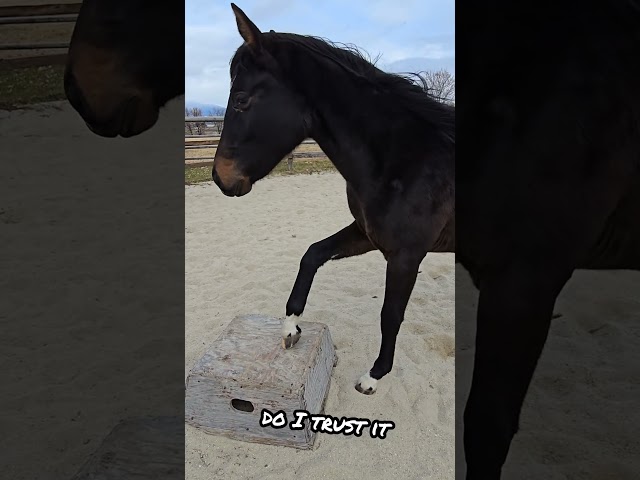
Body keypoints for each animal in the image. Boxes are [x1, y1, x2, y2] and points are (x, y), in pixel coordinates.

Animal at [211, 2, 456, 394]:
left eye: (242, 100)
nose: (221, 177)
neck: (405, 159)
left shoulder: (406, 255)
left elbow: (391, 314)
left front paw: (373, 376)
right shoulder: (367, 235)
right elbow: (312, 254)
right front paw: (290, 329)